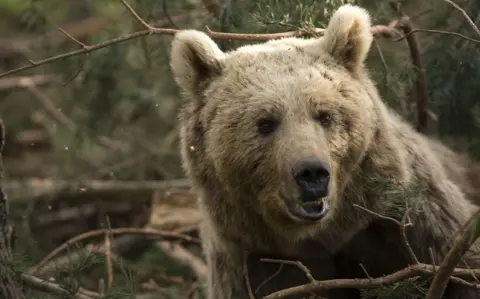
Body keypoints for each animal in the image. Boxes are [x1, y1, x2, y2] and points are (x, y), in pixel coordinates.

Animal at [169, 4, 480, 299]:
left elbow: (462, 270)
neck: (324, 237)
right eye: (265, 122)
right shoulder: (255, 262)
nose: (312, 173)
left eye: (325, 115)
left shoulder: (411, 219)